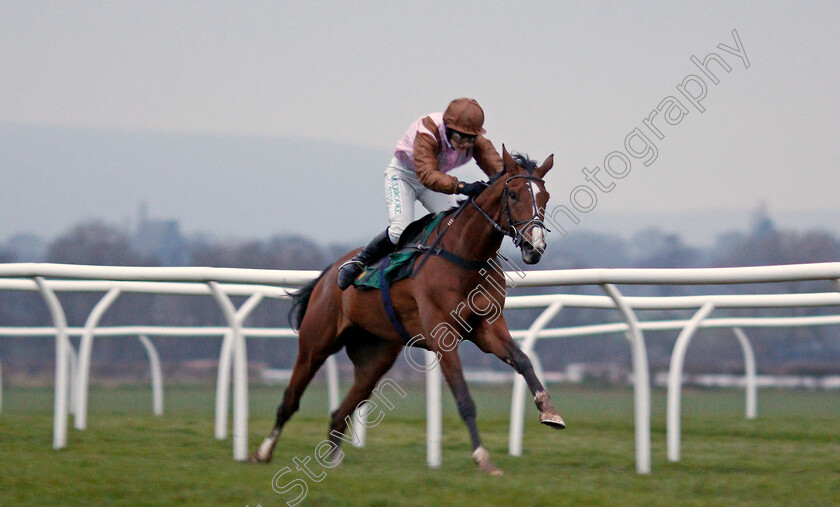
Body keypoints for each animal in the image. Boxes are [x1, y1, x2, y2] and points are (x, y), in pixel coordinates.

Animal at [251, 146, 564, 476]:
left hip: (376, 356)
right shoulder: (443, 337)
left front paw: (550, 412)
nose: (534, 247)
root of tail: (328, 273)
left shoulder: (487, 327)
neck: (466, 255)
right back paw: (263, 451)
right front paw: (483, 458)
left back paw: (333, 460)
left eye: (544, 196)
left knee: (343, 409)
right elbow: (464, 398)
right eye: (514, 194)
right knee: (290, 399)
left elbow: (523, 360)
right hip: (315, 343)